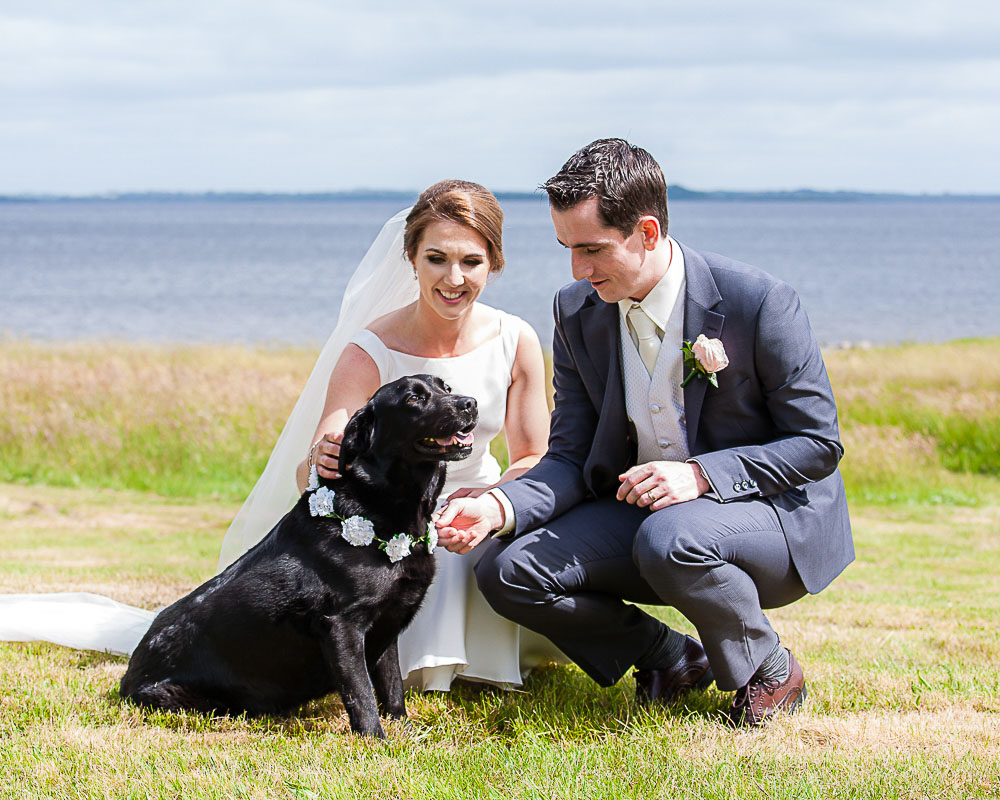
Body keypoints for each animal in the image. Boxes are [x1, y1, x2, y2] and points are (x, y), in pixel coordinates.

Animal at [119, 376, 478, 736]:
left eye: (446, 388)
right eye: (413, 399)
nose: (470, 403)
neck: (378, 509)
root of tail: (126, 680)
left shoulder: (386, 628)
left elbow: (391, 688)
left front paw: (403, 731)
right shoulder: (341, 626)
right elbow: (361, 694)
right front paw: (375, 741)